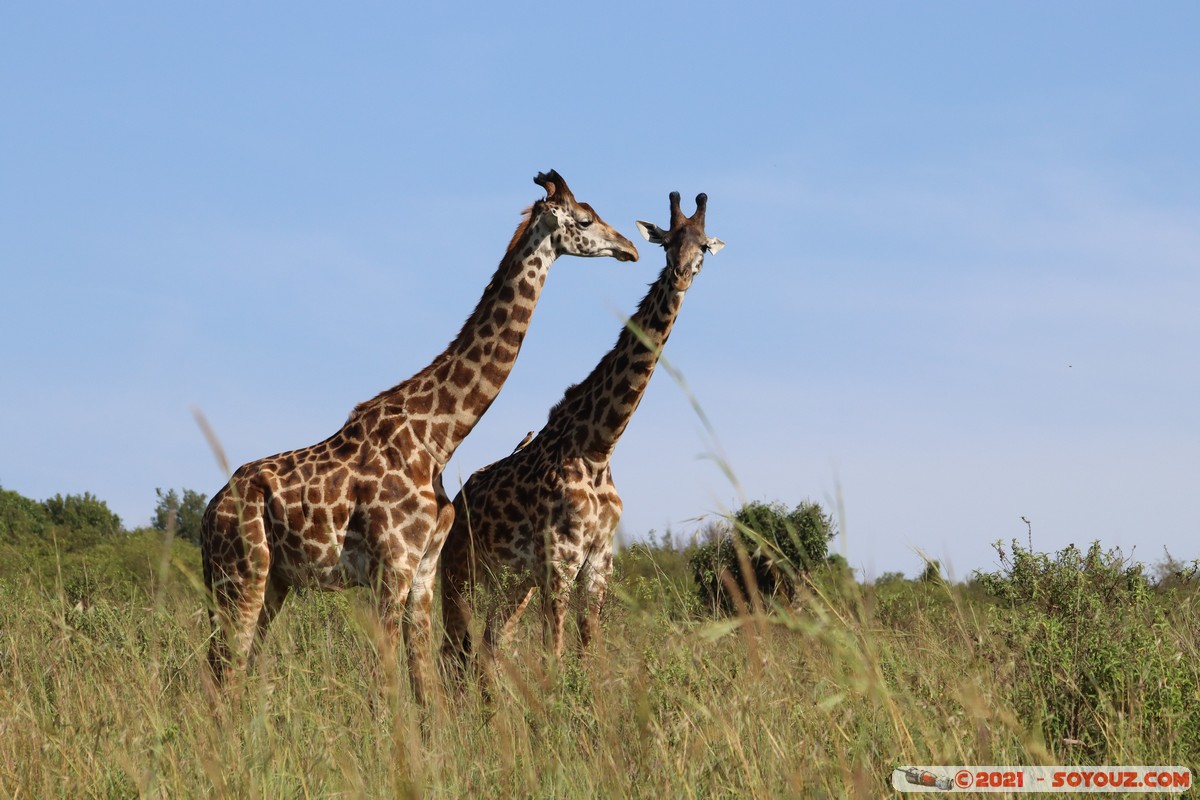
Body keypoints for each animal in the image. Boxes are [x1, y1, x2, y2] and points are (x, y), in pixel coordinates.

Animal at [199, 170, 639, 705]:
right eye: (586, 219)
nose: (630, 248)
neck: (439, 436)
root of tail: (207, 517)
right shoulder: (392, 568)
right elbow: (386, 682)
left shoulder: (425, 570)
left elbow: (424, 685)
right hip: (242, 574)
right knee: (225, 668)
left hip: (270, 583)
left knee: (230, 669)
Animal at [438, 191, 723, 678]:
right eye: (668, 242)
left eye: (703, 245)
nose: (681, 275)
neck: (599, 444)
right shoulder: (560, 560)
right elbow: (555, 655)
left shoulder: (598, 563)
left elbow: (589, 655)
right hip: (460, 574)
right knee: (454, 651)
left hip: (512, 583)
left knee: (491, 643)